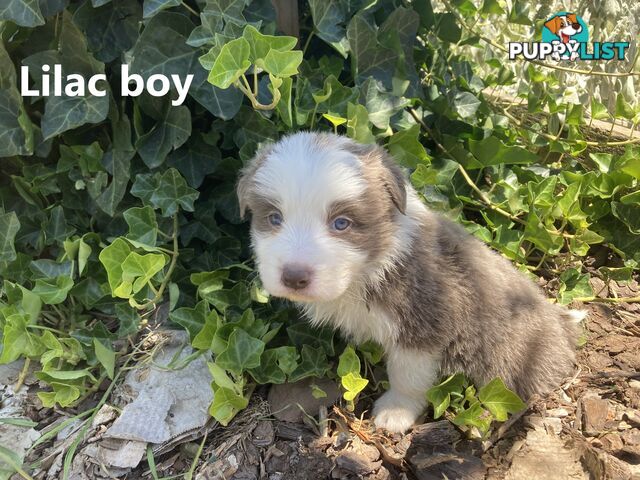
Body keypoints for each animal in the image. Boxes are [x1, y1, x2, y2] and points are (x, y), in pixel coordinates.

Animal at [236, 132, 584, 436]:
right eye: (274, 218)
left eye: (341, 223)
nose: (294, 277)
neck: (369, 269)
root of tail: (561, 322)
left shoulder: (425, 322)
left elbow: (407, 375)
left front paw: (395, 413)